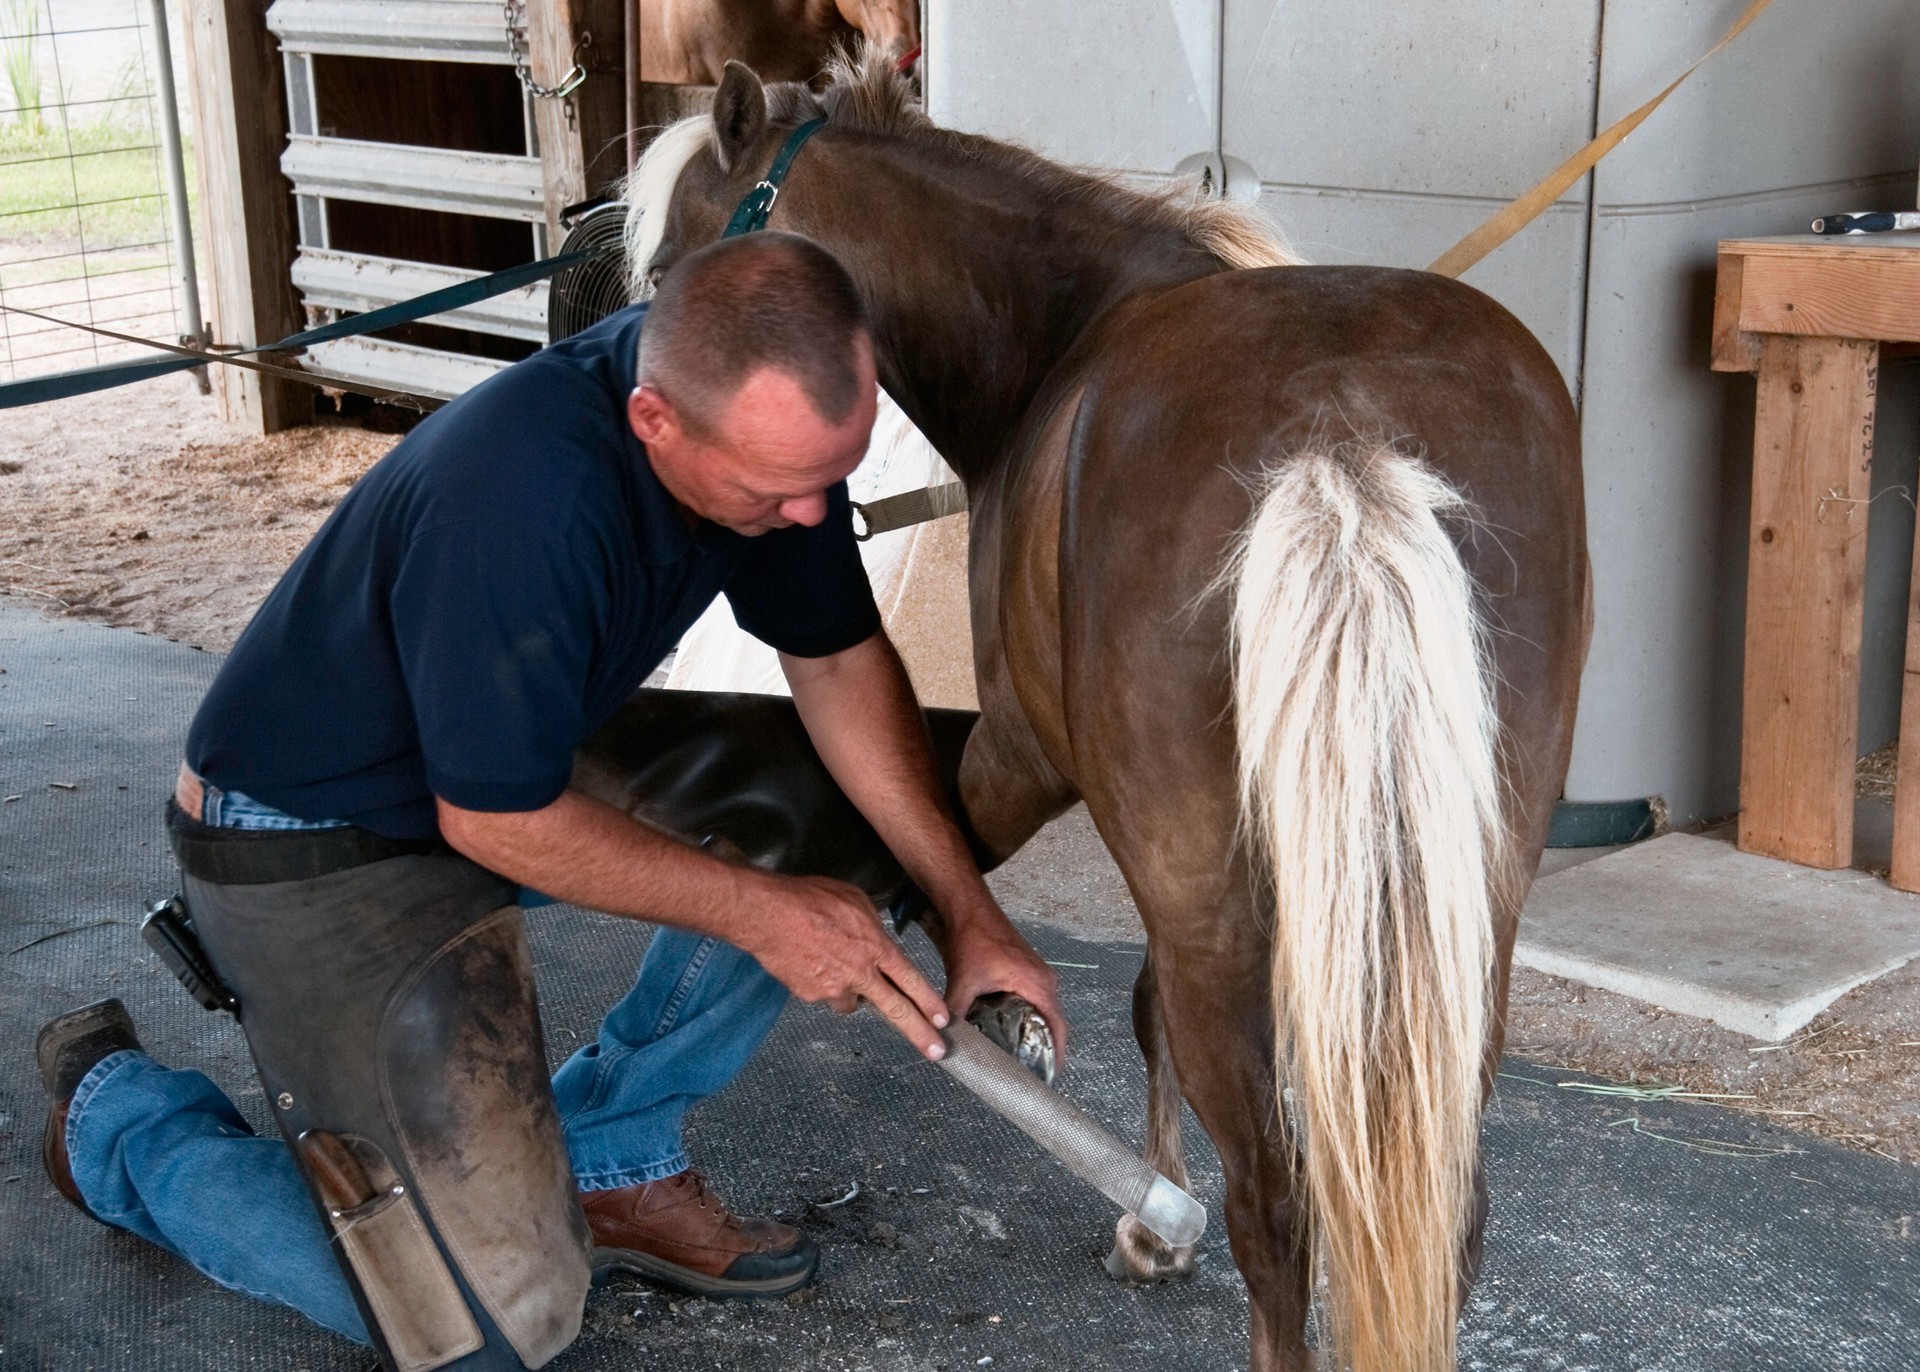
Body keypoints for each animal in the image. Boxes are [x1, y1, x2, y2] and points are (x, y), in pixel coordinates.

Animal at [622, 48, 1582, 1366]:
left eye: (667, 266)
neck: (1062, 331)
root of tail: (1341, 441)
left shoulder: (1027, 761)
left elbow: (955, 856)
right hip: (1467, 903)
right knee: (1443, 1207)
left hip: (1217, 901)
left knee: (1275, 1207)